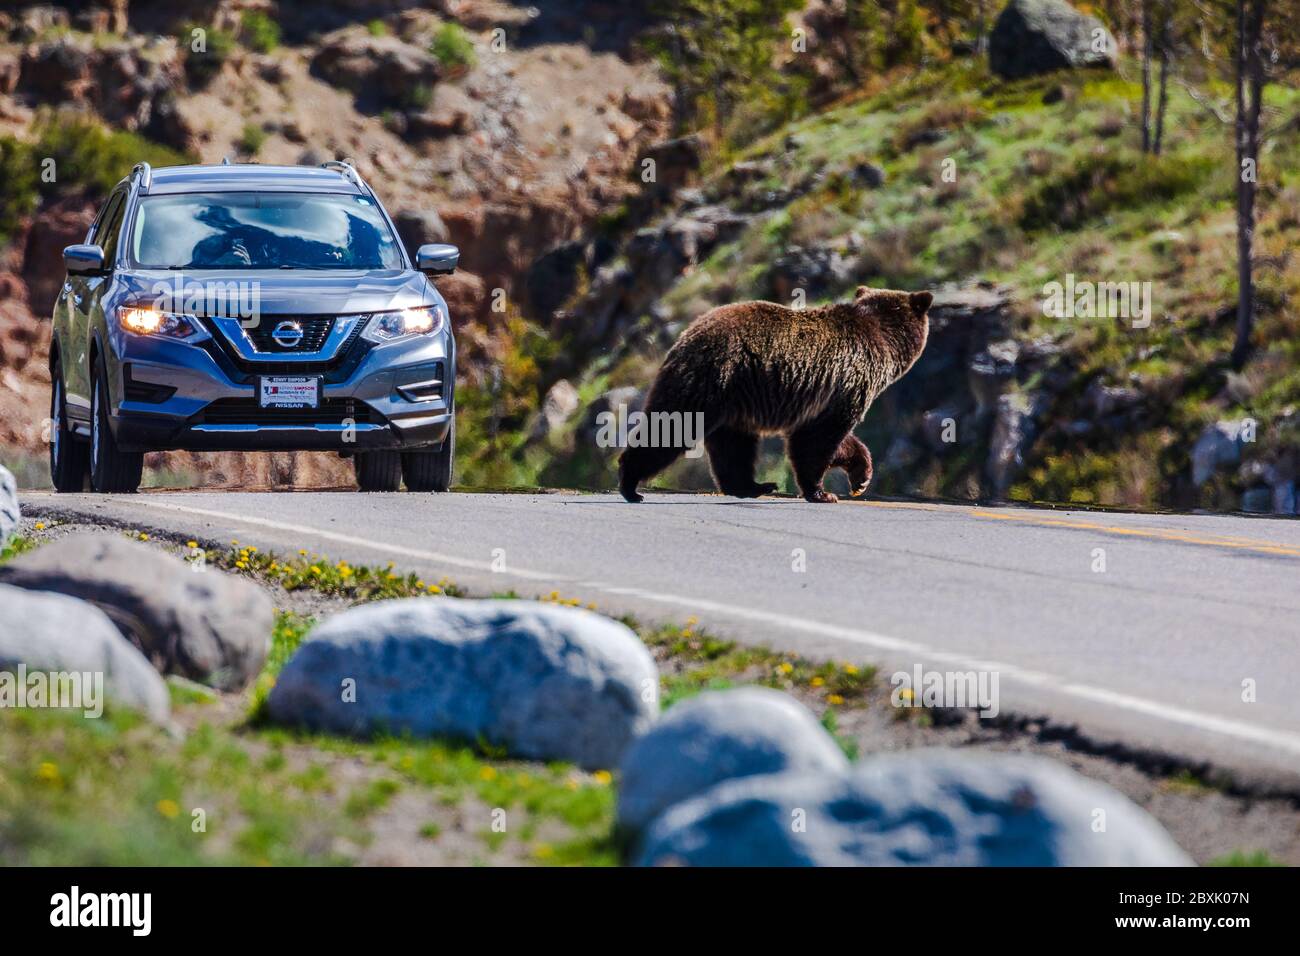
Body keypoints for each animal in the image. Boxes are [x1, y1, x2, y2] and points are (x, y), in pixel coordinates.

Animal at [616, 287, 930, 504]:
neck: (884, 340)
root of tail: (685, 335)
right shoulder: (847, 380)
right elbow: (817, 438)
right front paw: (822, 493)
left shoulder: (826, 397)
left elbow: (832, 437)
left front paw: (860, 476)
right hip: (713, 378)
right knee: (673, 425)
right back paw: (631, 485)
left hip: (733, 397)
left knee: (734, 446)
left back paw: (754, 486)